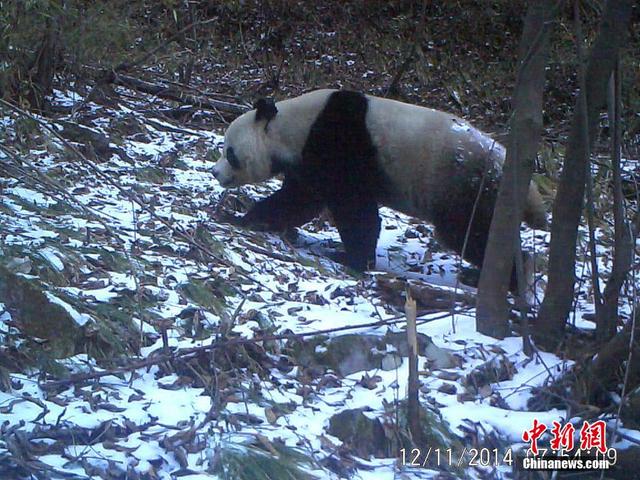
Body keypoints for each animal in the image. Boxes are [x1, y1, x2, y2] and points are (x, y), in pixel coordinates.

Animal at [214, 89, 544, 284]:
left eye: (230, 152)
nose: (215, 172)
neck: (292, 127)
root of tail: (531, 192)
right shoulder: (307, 160)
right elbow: (299, 200)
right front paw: (250, 218)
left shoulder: (339, 142)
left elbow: (353, 209)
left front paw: (351, 259)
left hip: (466, 186)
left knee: (470, 233)